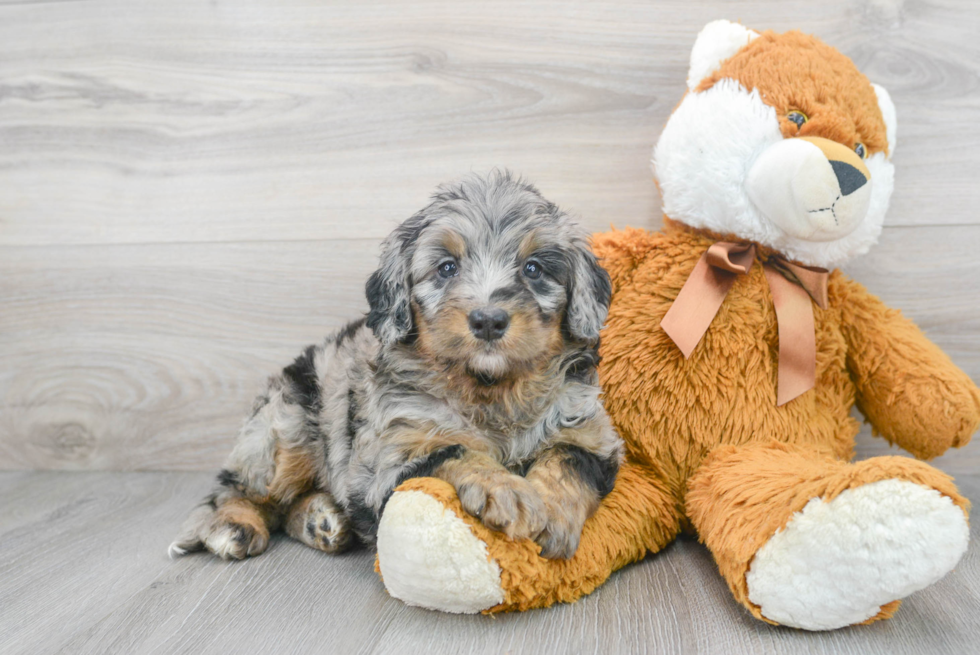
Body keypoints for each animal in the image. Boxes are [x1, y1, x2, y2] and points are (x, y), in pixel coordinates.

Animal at [170, 172, 620, 560]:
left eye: (533, 268)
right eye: (447, 268)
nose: (488, 320)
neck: (491, 388)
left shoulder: (590, 430)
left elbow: (568, 459)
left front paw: (553, 513)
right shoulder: (389, 459)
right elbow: (451, 451)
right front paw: (506, 489)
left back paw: (321, 521)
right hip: (284, 432)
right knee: (238, 491)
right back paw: (235, 525)